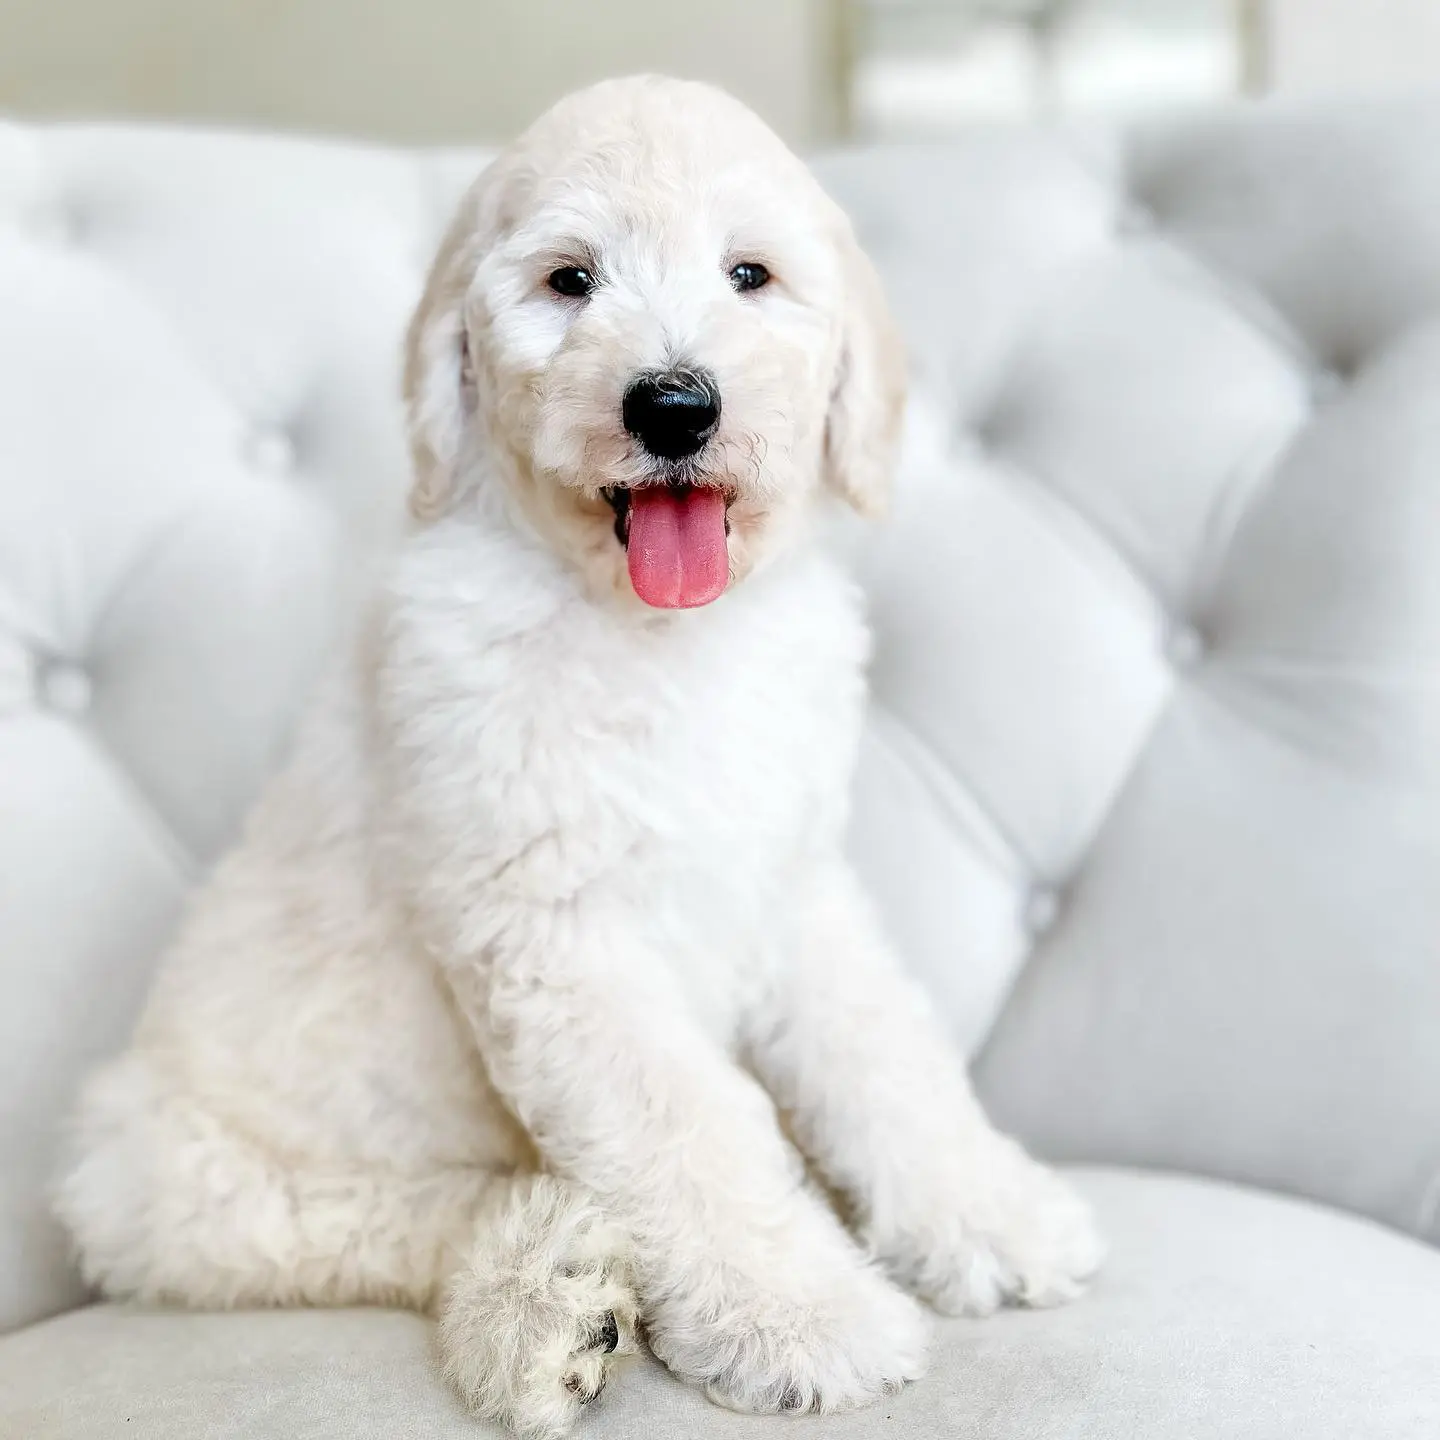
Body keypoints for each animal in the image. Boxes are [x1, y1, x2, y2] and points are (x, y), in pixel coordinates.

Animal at [50, 81, 1094, 1440]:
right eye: (570, 280)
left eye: (750, 274)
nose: (675, 406)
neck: (660, 640)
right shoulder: (556, 935)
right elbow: (689, 1123)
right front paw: (794, 1313)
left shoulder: (794, 885)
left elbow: (884, 1052)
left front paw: (988, 1212)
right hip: (177, 1180)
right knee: (401, 1218)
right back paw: (542, 1295)